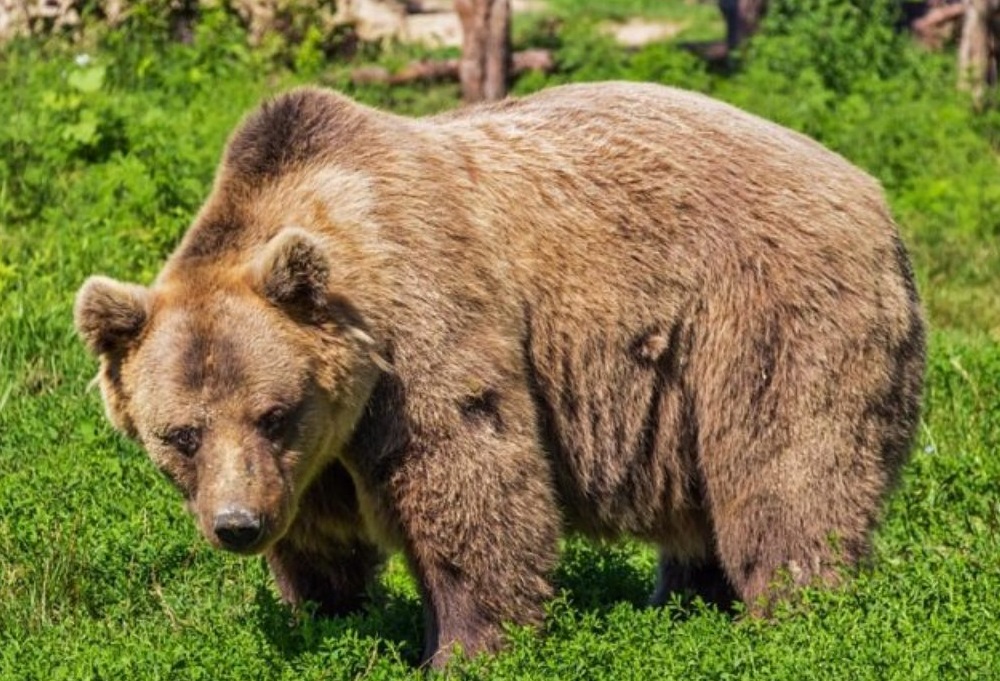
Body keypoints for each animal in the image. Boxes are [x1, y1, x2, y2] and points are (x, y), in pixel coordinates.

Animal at [74, 81, 926, 668]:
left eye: (273, 411)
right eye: (181, 433)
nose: (237, 524)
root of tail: (873, 192)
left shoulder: (422, 334)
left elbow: (470, 479)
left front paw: (464, 646)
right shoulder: (313, 455)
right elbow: (319, 538)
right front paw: (328, 613)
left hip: (766, 315)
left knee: (787, 470)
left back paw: (793, 613)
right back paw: (685, 602)